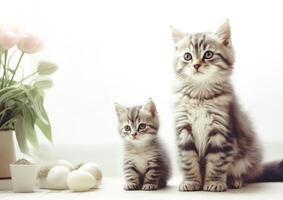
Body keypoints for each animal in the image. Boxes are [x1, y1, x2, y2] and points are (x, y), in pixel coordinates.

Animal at [172, 20, 283, 192]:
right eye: (187, 56)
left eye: (208, 54)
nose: (196, 65)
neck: (200, 95)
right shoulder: (184, 130)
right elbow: (188, 161)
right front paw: (191, 182)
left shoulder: (222, 130)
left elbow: (217, 162)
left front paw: (214, 182)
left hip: (249, 154)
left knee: (244, 174)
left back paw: (234, 181)